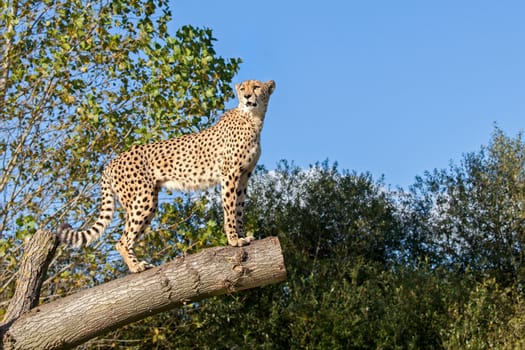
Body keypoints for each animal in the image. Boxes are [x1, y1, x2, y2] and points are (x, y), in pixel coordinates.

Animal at [58, 80, 274, 274]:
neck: (253, 119)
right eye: (242, 89)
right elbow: (230, 208)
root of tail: (112, 161)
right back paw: (136, 266)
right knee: (122, 240)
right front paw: (234, 240)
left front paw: (243, 236)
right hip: (142, 199)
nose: (247, 96)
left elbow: (239, 208)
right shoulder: (229, 174)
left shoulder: (244, 175)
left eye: (256, 87)